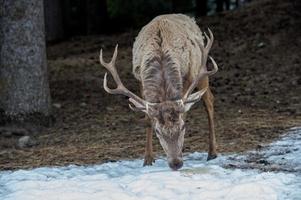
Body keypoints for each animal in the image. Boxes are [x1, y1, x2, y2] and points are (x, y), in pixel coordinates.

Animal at [100, 14, 218, 170]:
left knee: (209, 101)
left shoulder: (187, 78)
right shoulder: (141, 81)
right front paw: (148, 159)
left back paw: (212, 153)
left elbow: (185, 113)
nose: (176, 163)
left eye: (183, 127)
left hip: (201, 69)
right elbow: (147, 119)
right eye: (158, 132)